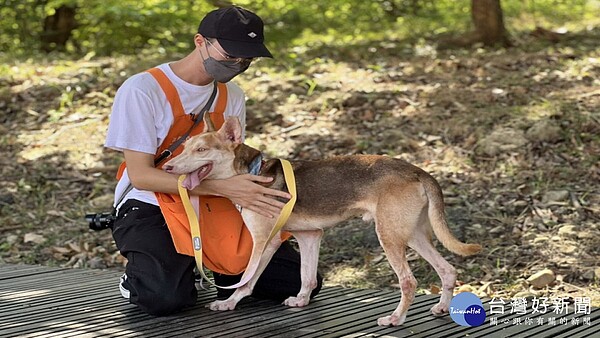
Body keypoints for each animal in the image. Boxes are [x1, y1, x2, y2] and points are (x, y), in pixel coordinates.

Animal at [162, 115, 480, 326]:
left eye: (201, 150)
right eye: (186, 147)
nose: (167, 167)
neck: (251, 173)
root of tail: (418, 171)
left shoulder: (265, 241)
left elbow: (246, 280)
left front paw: (229, 303)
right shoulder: (309, 237)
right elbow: (307, 276)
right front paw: (302, 301)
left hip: (389, 237)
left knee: (409, 282)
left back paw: (395, 318)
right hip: (411, 234)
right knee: (447, 270)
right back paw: (441, 307)